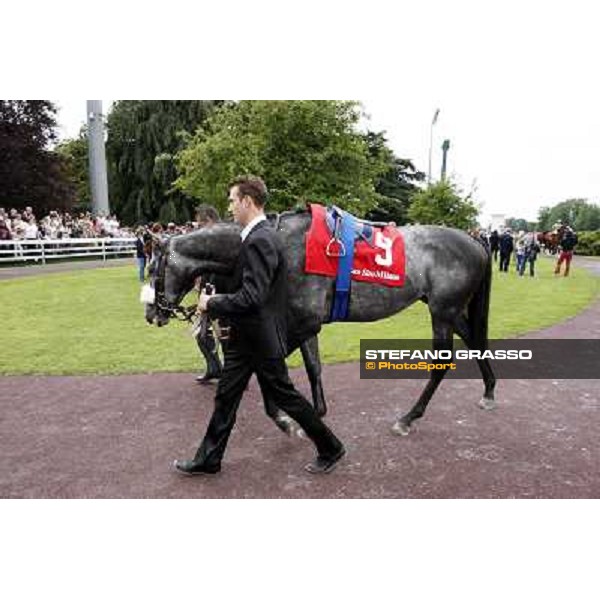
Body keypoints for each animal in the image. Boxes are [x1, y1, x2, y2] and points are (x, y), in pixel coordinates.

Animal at [145, 210, 496, 436]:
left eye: (151, 269)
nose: (151, 313)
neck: (279, 248)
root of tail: (476, 241)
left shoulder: (302, 320)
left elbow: (269, 363)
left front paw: (283, 417)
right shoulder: (306, 323)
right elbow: (311, 366)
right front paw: (314, 413)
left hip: (443, 311)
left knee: (442, 362)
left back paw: (408, 418)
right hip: (452, 311)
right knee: (476, 342)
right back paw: (489, 391)